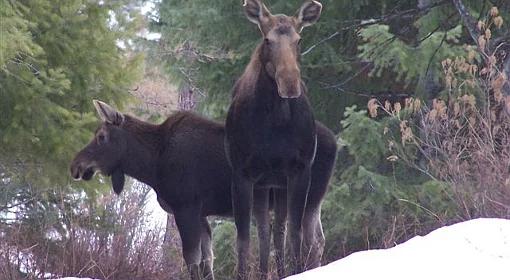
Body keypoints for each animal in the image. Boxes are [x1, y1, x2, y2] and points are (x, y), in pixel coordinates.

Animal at [69, 101, 336, 280]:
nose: (76, 165)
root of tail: (335, 141)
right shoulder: (200, 213)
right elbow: (207, 260)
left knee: (311, 241)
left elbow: (191, 259)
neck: (152, 163)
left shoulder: (186, 206)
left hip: (308, 195)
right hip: (315, 199)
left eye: (101, 136)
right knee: (320, 240)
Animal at [226, 0, 322, 278]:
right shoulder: (242, 173)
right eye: (267, 39)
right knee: (264, 232)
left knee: (277, 230)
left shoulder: (300, 169)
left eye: (299, 40)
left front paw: (297, 269)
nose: (289, 83)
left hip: (277, 185)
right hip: (264, 184)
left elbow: (294, 233)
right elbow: (244, 239)